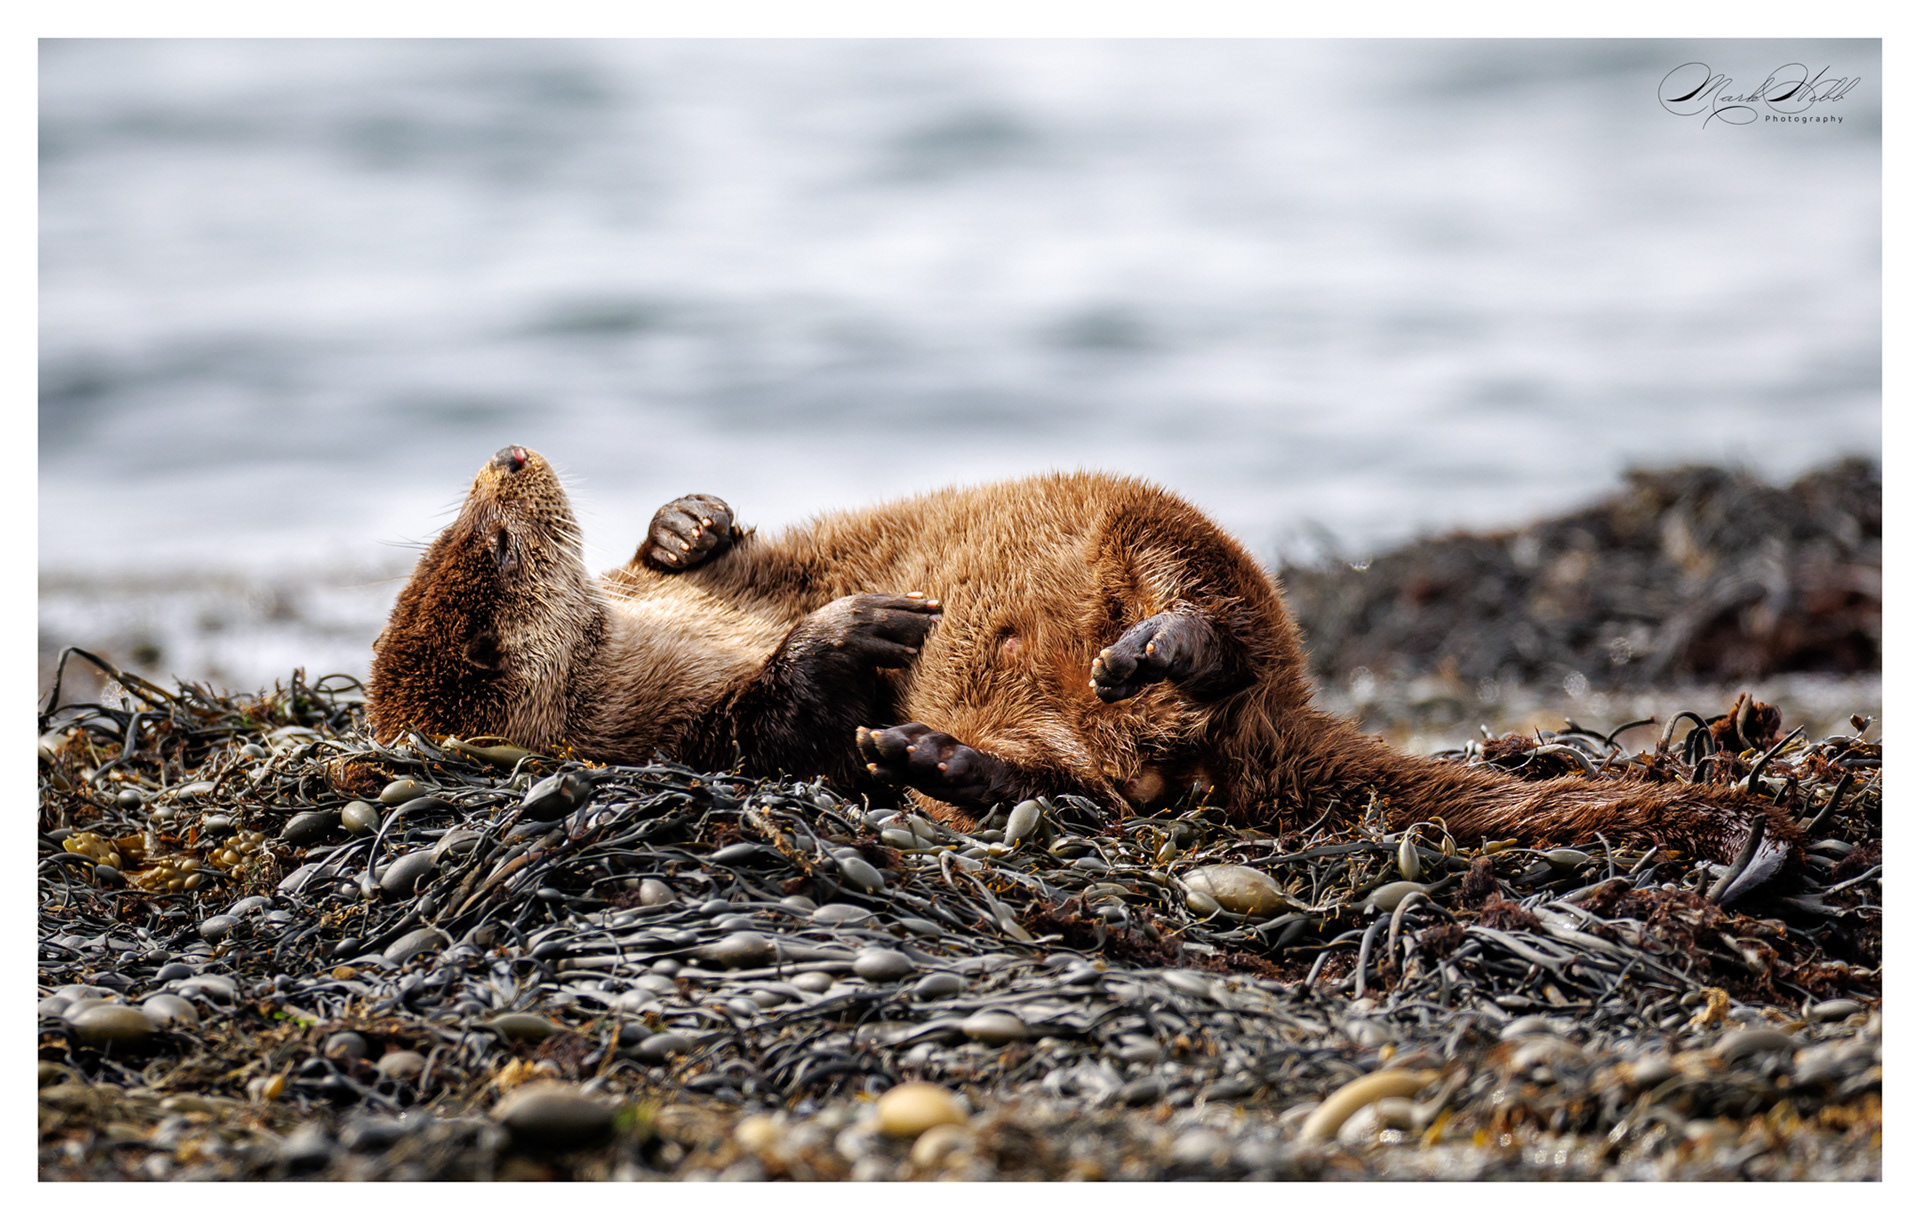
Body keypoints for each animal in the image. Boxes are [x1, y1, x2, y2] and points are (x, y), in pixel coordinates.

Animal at [367, 446, 1800, 901]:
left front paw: (685, 520)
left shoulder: (753, 582)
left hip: (1149, 522)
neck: (654, 649)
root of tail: (1281, 712)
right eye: (494, 542)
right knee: (1107, 791)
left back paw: (1159, 646)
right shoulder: (670, 730)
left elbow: (758, 557)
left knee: (1192, 610)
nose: (508, 455)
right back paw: (949, 758)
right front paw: (841, 642)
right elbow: (772, 726)